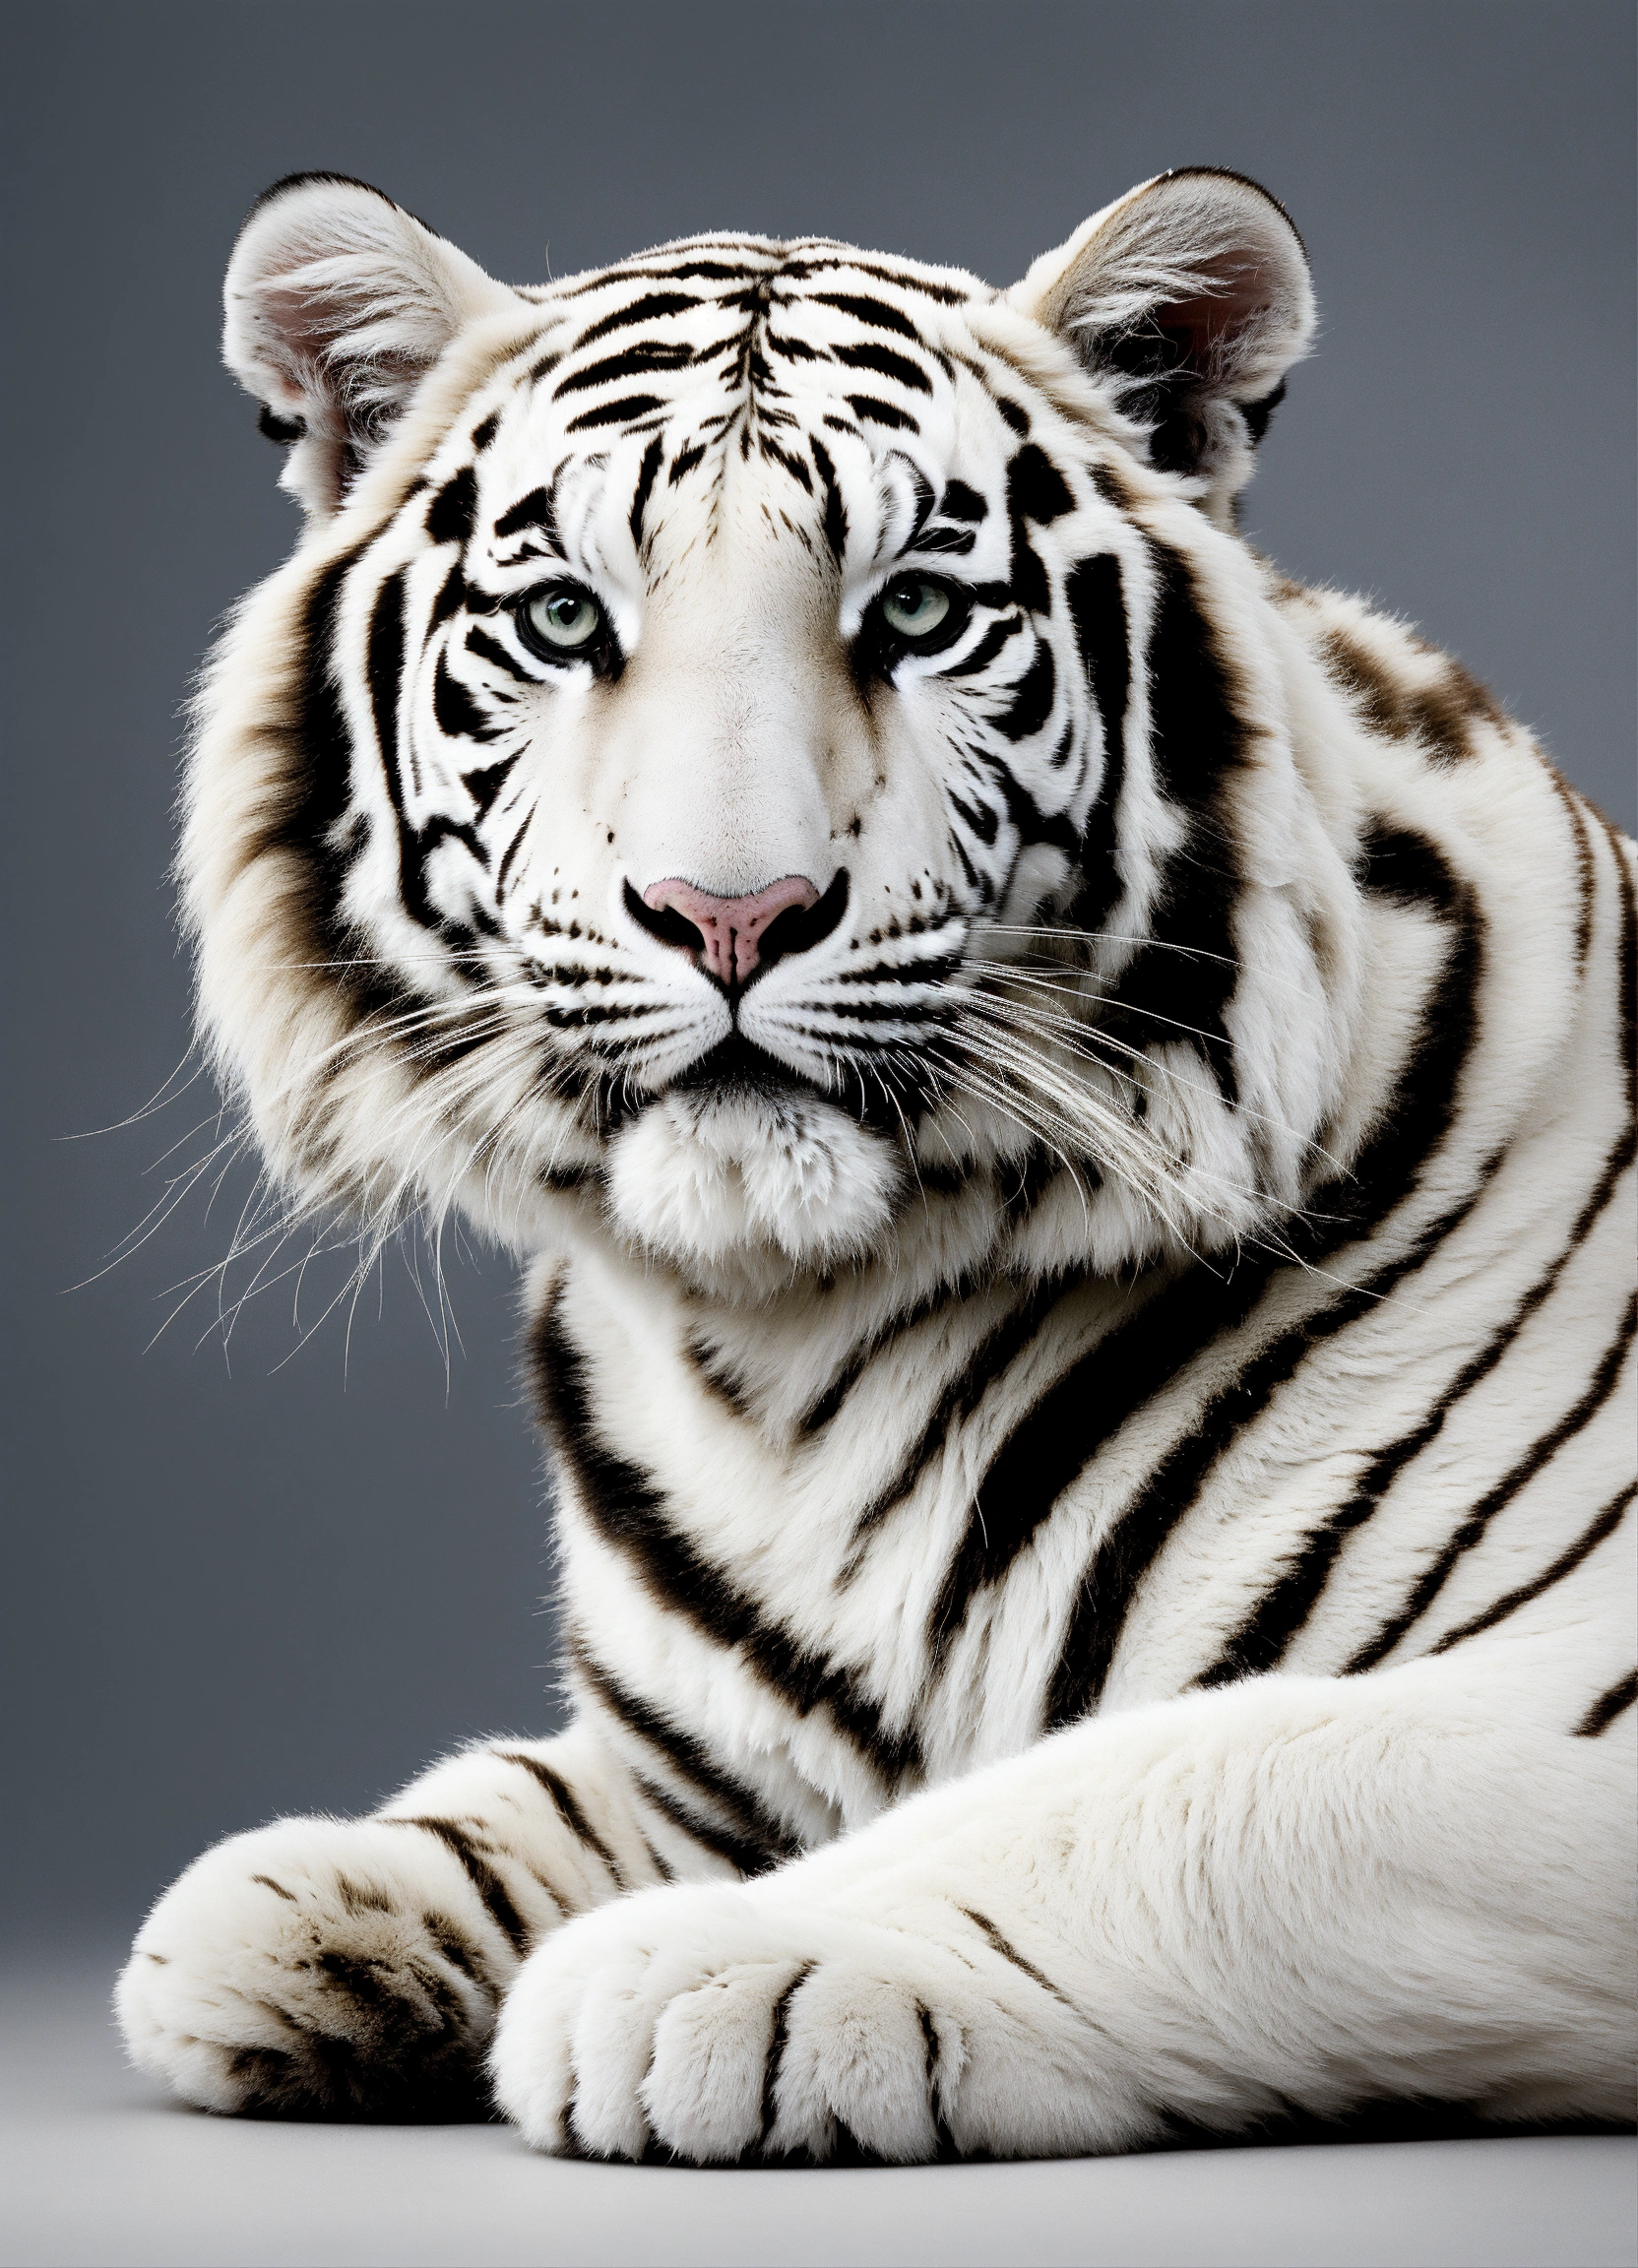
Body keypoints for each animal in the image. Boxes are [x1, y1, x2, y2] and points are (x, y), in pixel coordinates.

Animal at [114, 166, 1635, 2162]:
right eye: (561, 616)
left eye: (914, 608)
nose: (727, 912)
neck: (790, 1348)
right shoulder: (698, 1759)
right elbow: (529, 1798)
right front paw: (300, 1908)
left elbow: (1205, 1776)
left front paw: (707, 1968)